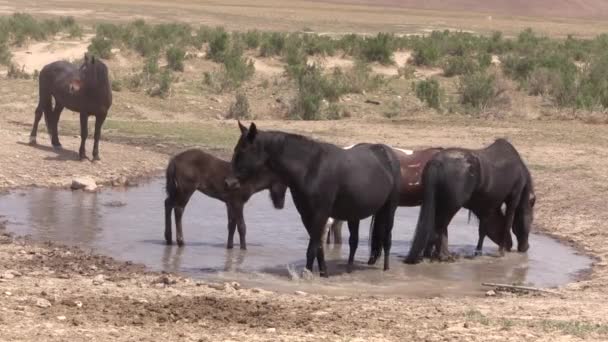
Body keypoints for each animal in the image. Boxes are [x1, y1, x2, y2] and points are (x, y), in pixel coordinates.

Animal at [228, 121, 400, 276]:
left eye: (243, 150)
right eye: (235, 149)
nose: (229, 182)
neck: (311, 167)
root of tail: (387, 154)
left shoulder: (320, 214)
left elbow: (312, 247)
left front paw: (307, 274)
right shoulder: (306, 215)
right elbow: (318, 246)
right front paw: (323, 273)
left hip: (389, 209)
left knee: (387, 240)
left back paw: (386, 269)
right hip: (355, 214)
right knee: (354, 242)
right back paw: (349, 269)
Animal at [406, 138, 536, 264]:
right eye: (530, 221)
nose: (525, 247)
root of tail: (436, 162)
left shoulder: (486, 206)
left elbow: (483, 230)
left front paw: (478, 252)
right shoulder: (513, 198)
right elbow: (507, 223)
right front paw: (501, 251)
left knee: (436, 229)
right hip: (451, 206)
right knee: (438, 229)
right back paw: (442, 256)